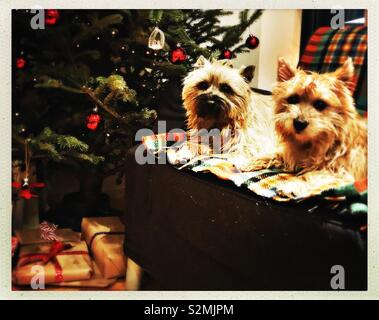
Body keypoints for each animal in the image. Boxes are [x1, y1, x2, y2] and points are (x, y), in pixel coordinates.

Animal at [243, 57, 368, 198]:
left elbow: (309, 176)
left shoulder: (339, 172)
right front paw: (251, 161)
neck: (311, 143)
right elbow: (273, 153)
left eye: (320, 104)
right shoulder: (289, 153)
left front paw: (292, 185)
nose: (299, 123)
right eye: (293, 99)